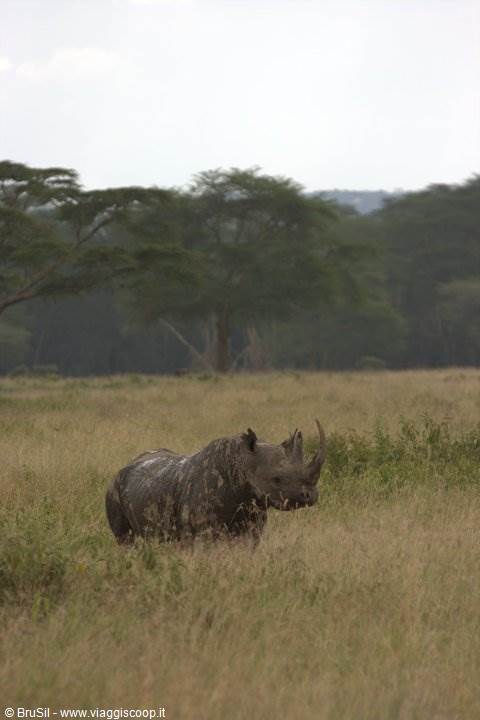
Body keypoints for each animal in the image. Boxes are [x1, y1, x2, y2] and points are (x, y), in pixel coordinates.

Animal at [105, 420, 327, 545]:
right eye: (276, 479)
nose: (310, 496)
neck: (242, 463)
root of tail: (125, 465)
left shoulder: (252, 527)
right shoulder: (200, 532)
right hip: (113, 489)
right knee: (125, 540)